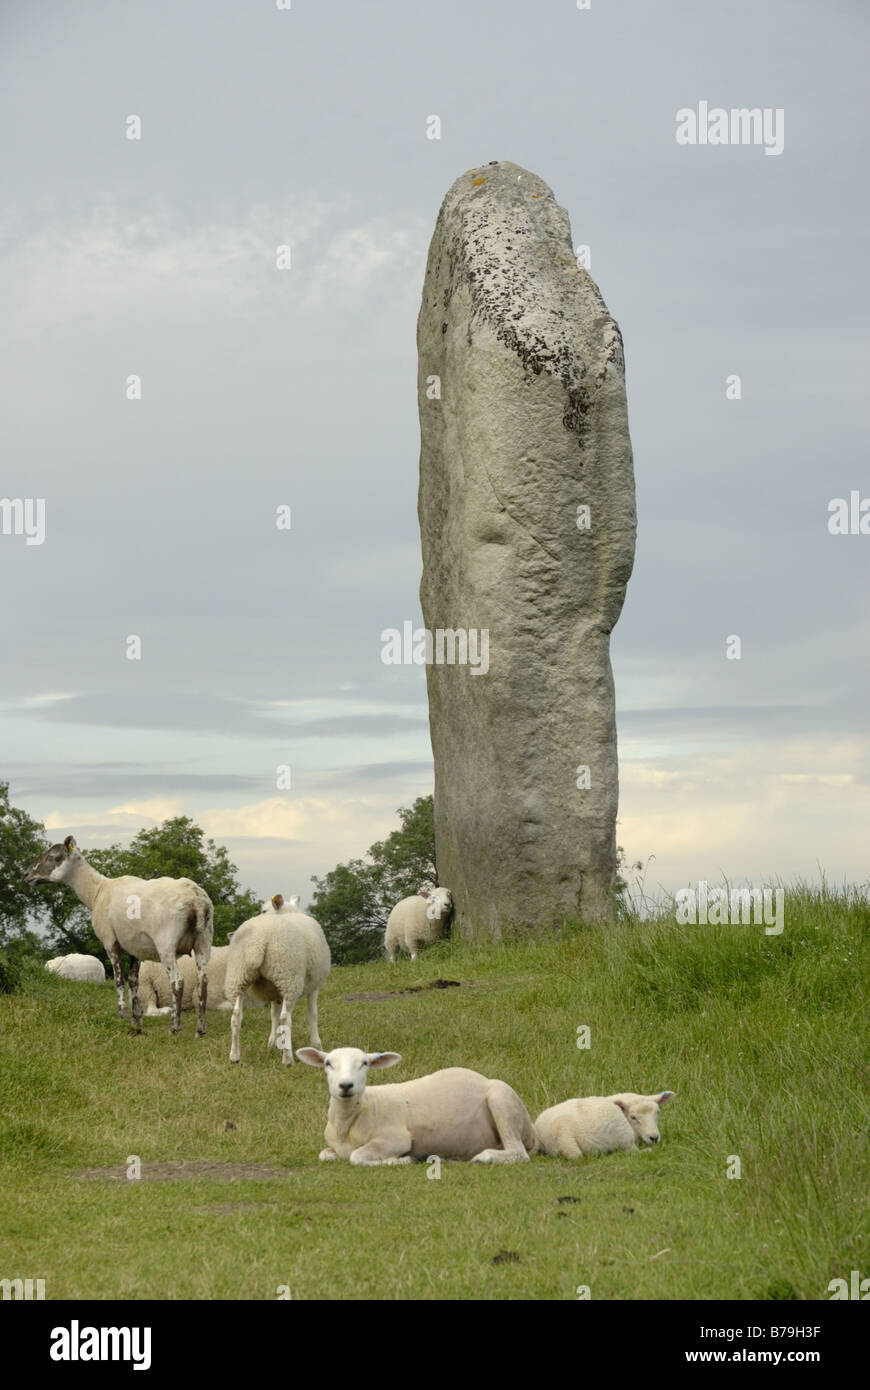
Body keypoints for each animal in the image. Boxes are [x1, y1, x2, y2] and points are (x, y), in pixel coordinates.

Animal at [25, 828, 211, 1039]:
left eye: (53, 857)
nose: (27, 875)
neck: (96, 891)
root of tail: (195, 897)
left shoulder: (109, 940)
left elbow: (119, 980)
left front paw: (121, 1016)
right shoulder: (135, 945)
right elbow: (133, 981)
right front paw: (136, 1020)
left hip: (167, 943)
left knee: (177, 982)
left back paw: (175, 1027)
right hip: (204, 940)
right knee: (203, 982)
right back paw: (200, 1029)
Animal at [222, 906, 330, 1056]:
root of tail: (256, 943)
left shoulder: (273, 991)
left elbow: (274, 1015)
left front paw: (273, 1043)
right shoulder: (314, 986)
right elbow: (312, 1013)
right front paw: (317, 1045)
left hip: (238, 976)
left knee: (235, 1016)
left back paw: (234, 1055)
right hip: (289, 978)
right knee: (285, 1018)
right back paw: (288, 1056)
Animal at [294, 1045, 536, 1167]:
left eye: (365, 1063)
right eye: (328, 1063)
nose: (346, 1085)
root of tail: (532, 1134)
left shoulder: (395, 1138)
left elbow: (357, 1157)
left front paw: (401, 1160)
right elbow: (324, 1154)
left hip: (502, 1098)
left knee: (519, 1152)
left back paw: (485, 1157)